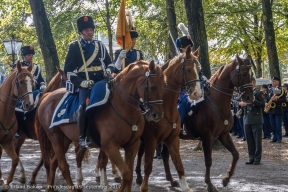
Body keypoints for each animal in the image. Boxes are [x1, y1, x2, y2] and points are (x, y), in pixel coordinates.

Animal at [0, 60, 34, 190]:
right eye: (20, 82)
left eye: (32, 82)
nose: (30, 104)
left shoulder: (7, 141)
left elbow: (15, 159)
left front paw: (7, 182)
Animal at [36, 60, 166, 192]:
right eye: (153, 87)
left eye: (164, 86)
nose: (157, 115)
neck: (123, 107)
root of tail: (47, 96)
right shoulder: (110, 146)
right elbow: (126, 174)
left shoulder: (132, 145)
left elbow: (127, 175)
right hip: (55, 138)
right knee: (63, 166)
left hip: (66, 140)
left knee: (54, 163)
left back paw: (51, 187)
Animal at [133, 45, 202, 191]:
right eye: (188, 69)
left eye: (199, 70)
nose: (197, 94)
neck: (165, 106)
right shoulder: (152, 140)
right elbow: (148, 165)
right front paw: (144, 187)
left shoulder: (172, 139)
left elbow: (178, 164)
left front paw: (184, 186)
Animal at [160, 54, 254, 191]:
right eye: (243, 73)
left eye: (251, 74)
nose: (250, 98)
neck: (216, 102)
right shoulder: (207, 137)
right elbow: (208, 160)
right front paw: (209, 184)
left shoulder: (223, 135)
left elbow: (236, 155)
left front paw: (226, 179)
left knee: (165, 155)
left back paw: (171, 180)